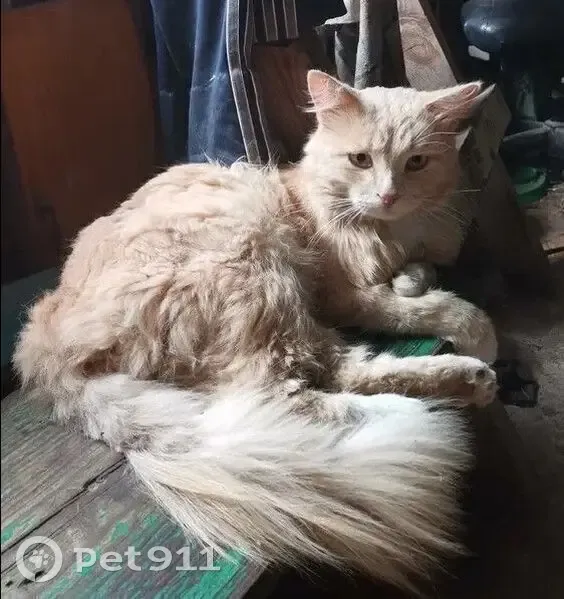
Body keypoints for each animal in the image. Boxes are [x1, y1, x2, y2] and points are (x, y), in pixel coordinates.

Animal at [14, 70, 498, 591]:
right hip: (258, 274)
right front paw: (472, 327)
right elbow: (429, 308)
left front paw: (412, 276)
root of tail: (43, 339)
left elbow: (421, 274)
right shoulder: (343, 295)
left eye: (417, 163)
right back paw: (444, 393)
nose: (388, 197)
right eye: (360, 160)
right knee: (298, 389)